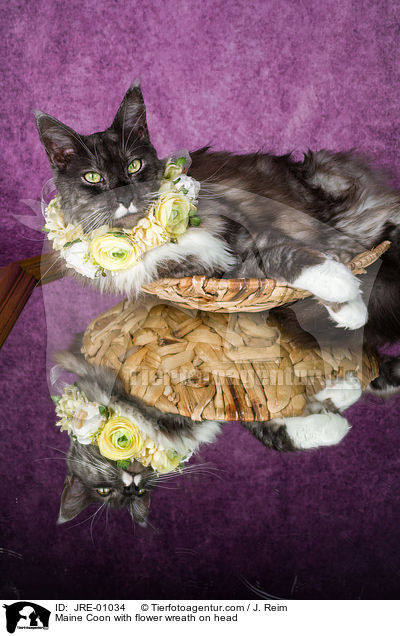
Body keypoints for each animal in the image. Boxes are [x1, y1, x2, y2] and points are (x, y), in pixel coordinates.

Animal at [35, 81, 400, 342]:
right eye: (92, 177)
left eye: (134, 165)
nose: (124, 194)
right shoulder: (210, 270)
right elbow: (280, 258)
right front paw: (345, 296)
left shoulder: (242, 227)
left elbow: (286, 251)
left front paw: (348, 296)